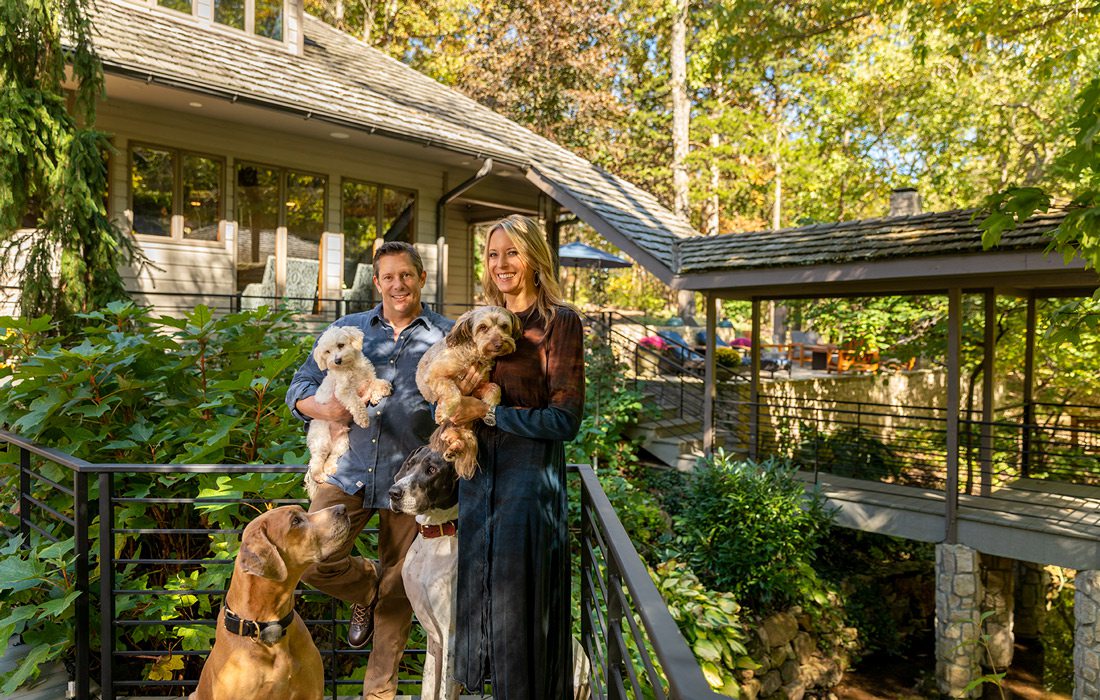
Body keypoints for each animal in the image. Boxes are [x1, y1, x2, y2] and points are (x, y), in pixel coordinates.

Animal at [305, 325, 391, 499]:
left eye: (340, 345)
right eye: (327, 352)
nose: (336, 361)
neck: (351, 367)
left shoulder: (369, 378)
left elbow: (377, 382)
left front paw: (380, 392)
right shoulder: (344, 392)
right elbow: (356, 403)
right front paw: (363, 419)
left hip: (342, 444)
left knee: (331, 457)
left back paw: (330, 468)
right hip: (321, 440)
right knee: (315, 462)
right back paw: (319, 475)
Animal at [387, 449, 459, 700]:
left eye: (432, 470)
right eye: (410, 464)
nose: (394, 492)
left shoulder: (451, 638)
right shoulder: (434, 641)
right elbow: (429, 688)